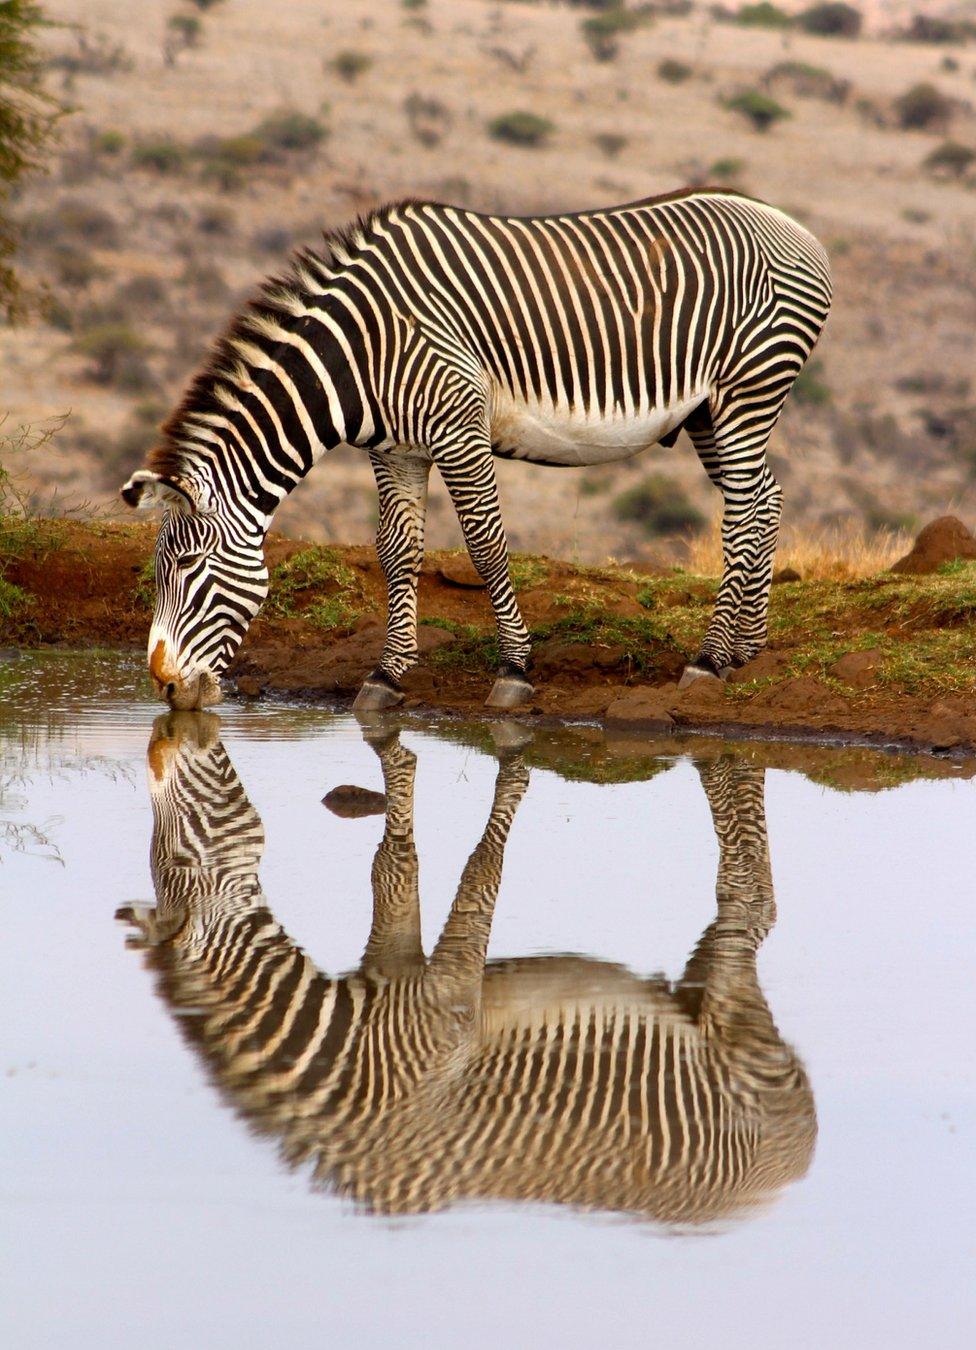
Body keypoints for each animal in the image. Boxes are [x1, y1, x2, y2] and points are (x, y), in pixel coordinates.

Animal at [116, 718, 815, 1225]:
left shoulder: (446, 1002)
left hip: (738, 1022)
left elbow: (480, 874)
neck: (354, 1052)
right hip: (692, 993)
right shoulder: (391, 965)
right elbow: (393, 871)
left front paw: (513, 775)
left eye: (178, 848)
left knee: (751, 922)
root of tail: (790, 1171)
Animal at [118, 191, 826, 718]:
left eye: (189, 568)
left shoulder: (460, 432)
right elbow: (396, 553)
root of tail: (790, 223)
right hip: (709, 411)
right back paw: (748, 649)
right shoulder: (396, 451)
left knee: (743, 511)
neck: (363, 349)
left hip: (747, 390)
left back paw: (709, 659)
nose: (166, 688)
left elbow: (486, 548)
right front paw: (385, 676)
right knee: (764, 499)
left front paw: (514, 671)